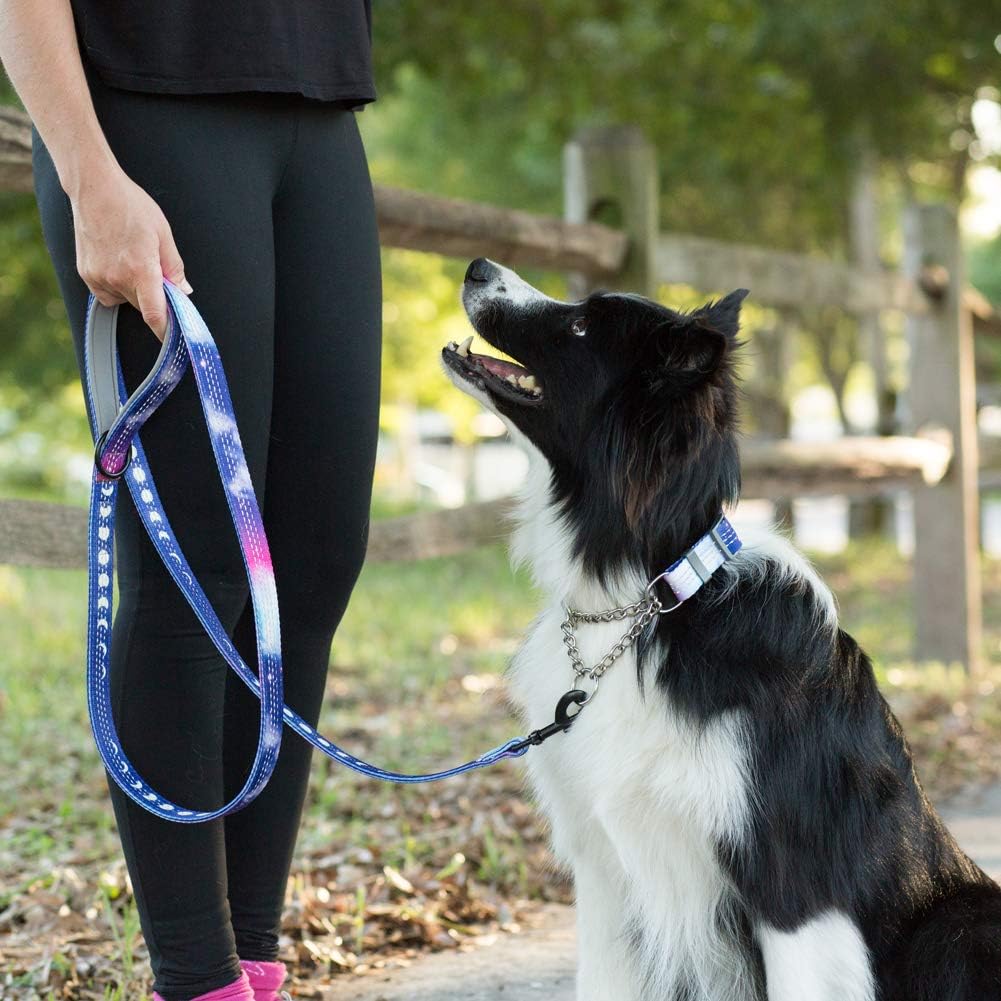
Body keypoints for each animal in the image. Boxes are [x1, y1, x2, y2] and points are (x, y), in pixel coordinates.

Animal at [442, 260, 1001, 1001]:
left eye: (582, 325)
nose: (477, 267)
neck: (653, 597)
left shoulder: (792, 885)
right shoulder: (603, 873)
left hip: (958, 925)